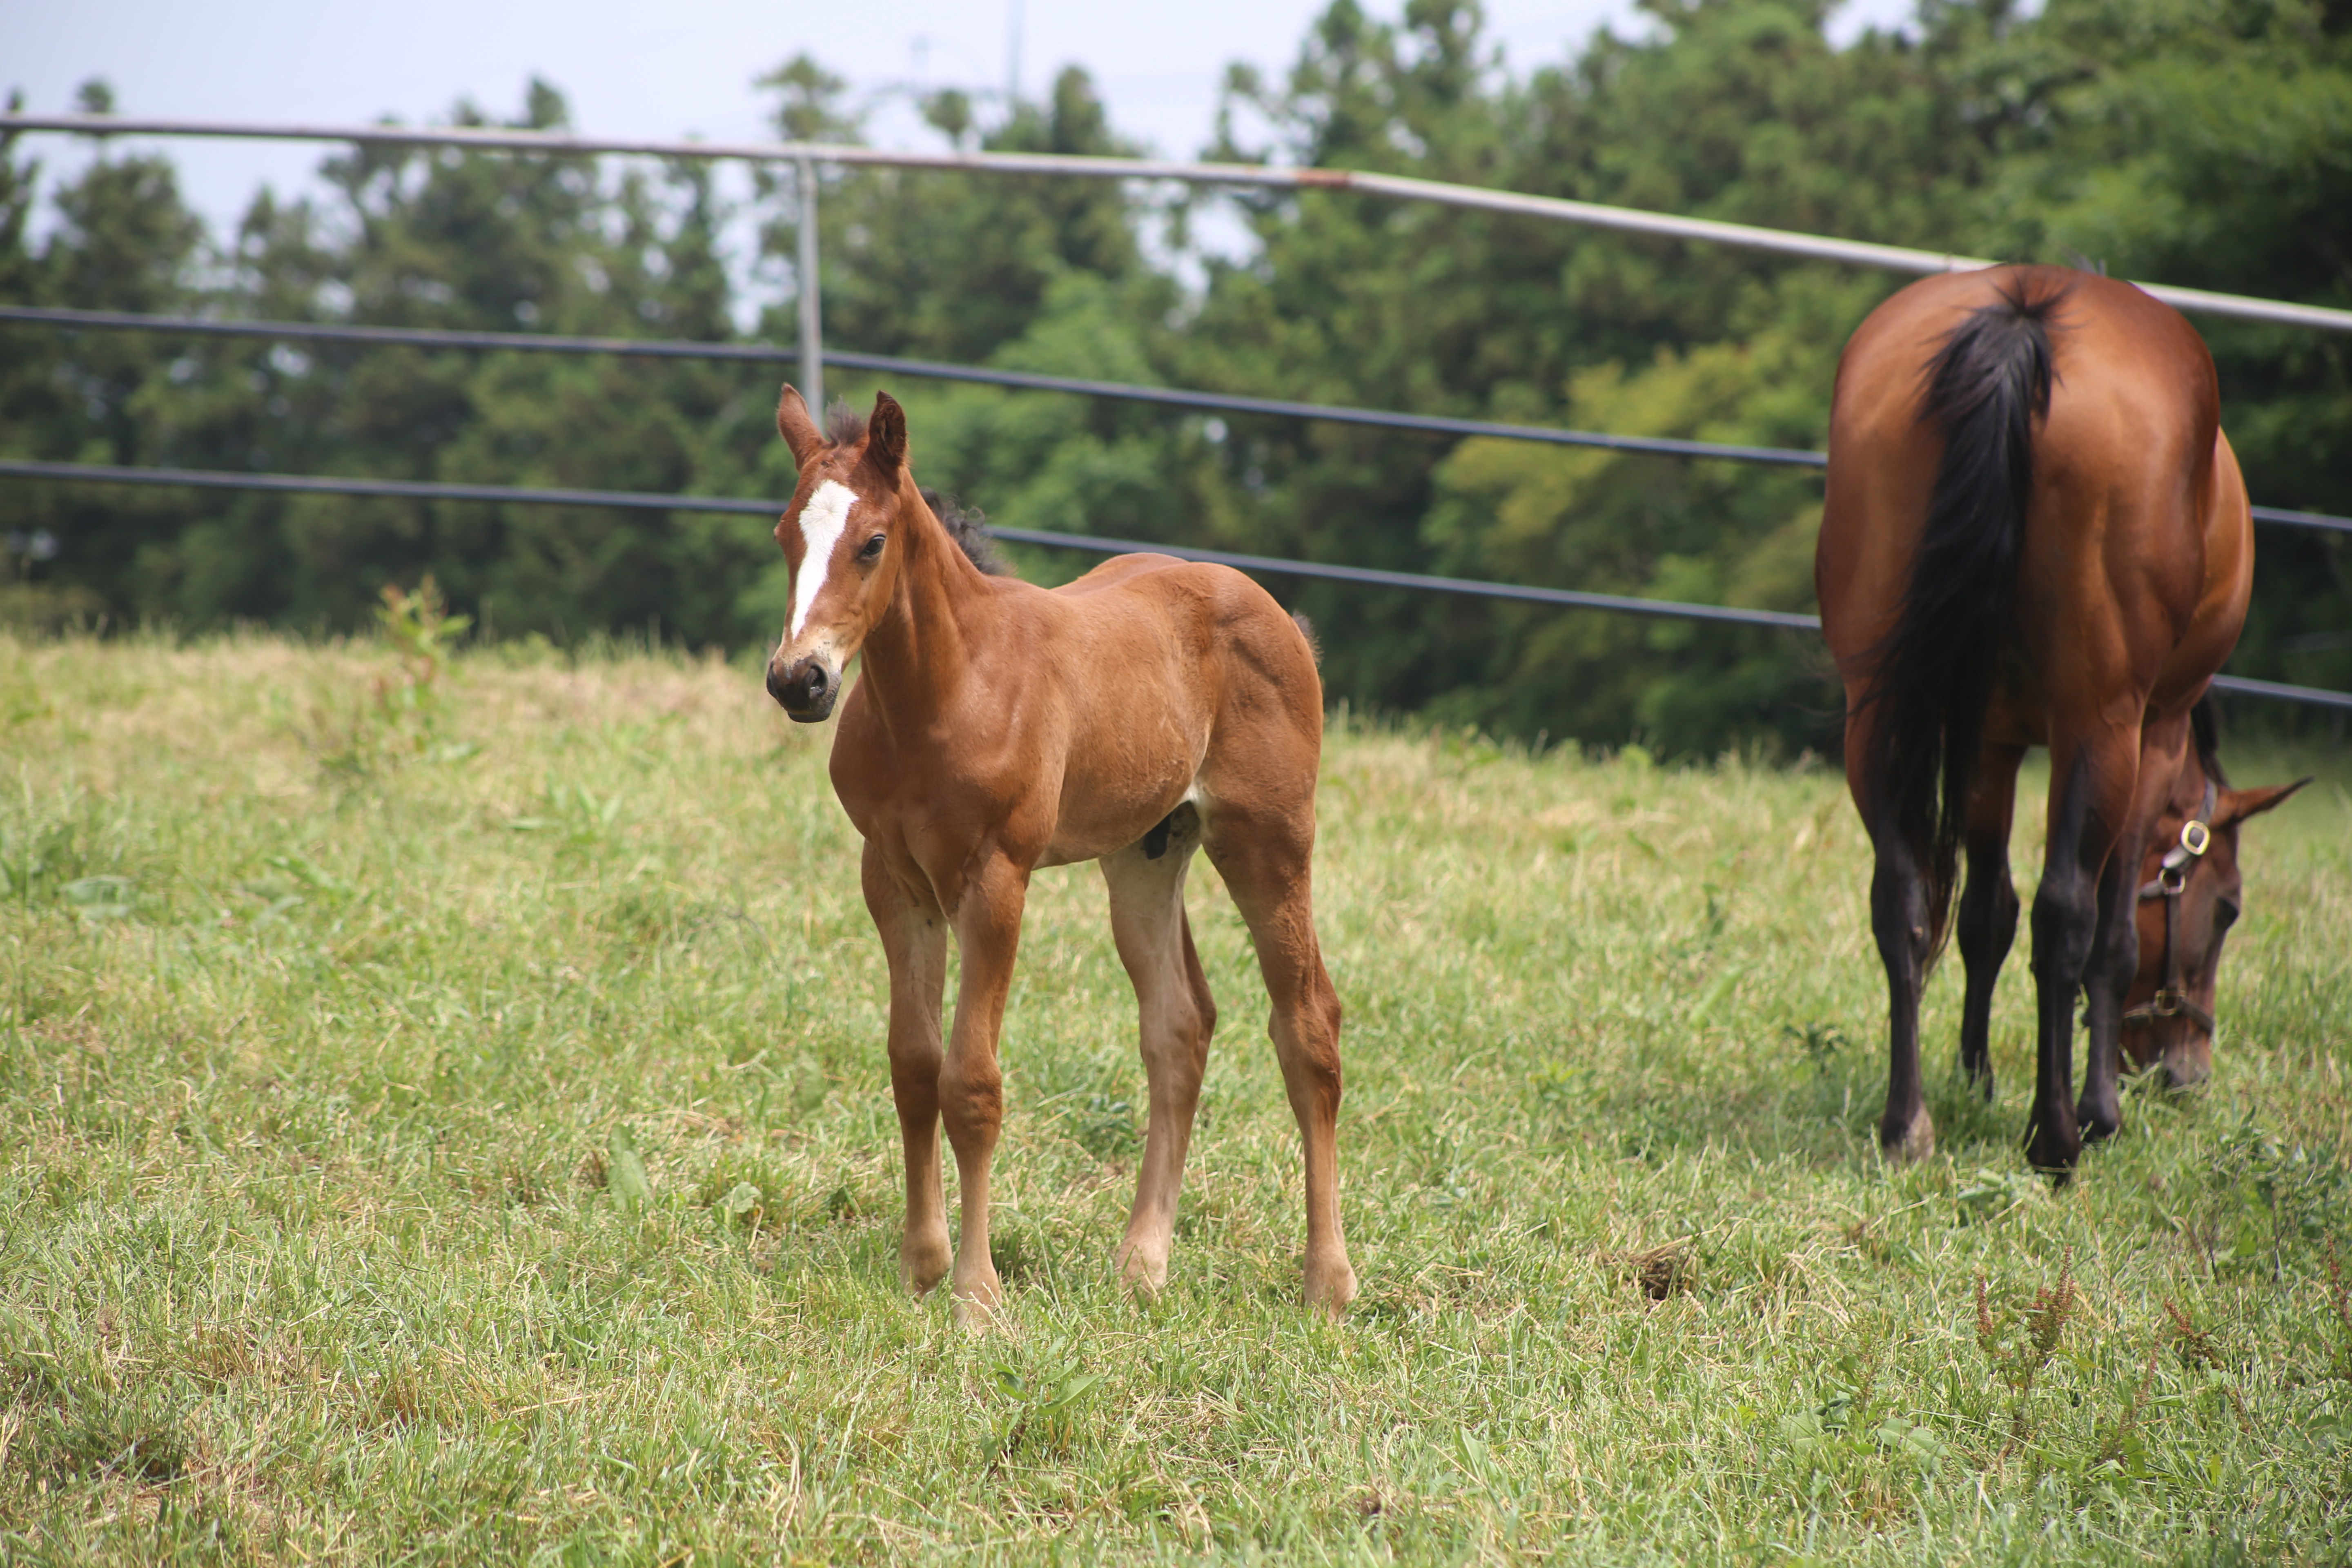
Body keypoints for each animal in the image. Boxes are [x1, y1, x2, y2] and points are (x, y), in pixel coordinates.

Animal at [771, 385, 1364, 1316]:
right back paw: (1143, 1263)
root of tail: (1280, 618)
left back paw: (1328, 1282)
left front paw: (978, 1296)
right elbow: (914, 1066)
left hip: (1268, 841)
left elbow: (972, 1084)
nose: (800, 681)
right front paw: (922, 1266)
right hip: (1146, 854)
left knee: (1307, 1024)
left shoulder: (995, 880)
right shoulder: (894, 881)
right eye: (784, 538)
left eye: (871, 542)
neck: (945, 692)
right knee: (1180, 1024)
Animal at [1815, 267, 2276, 1175]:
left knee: (1903, 897)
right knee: (2066, 911)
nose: (2186, 1073)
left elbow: (1986, 913)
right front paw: (2096, 1110)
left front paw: (1976, 1076)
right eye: (2228, 909)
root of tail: (2023, 312)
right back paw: (2057, 1135)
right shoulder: (2151, 729)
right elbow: (2109, 932)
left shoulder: (1992, 741)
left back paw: (1907, 1124)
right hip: (2098, 724)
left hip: (1876, 713)